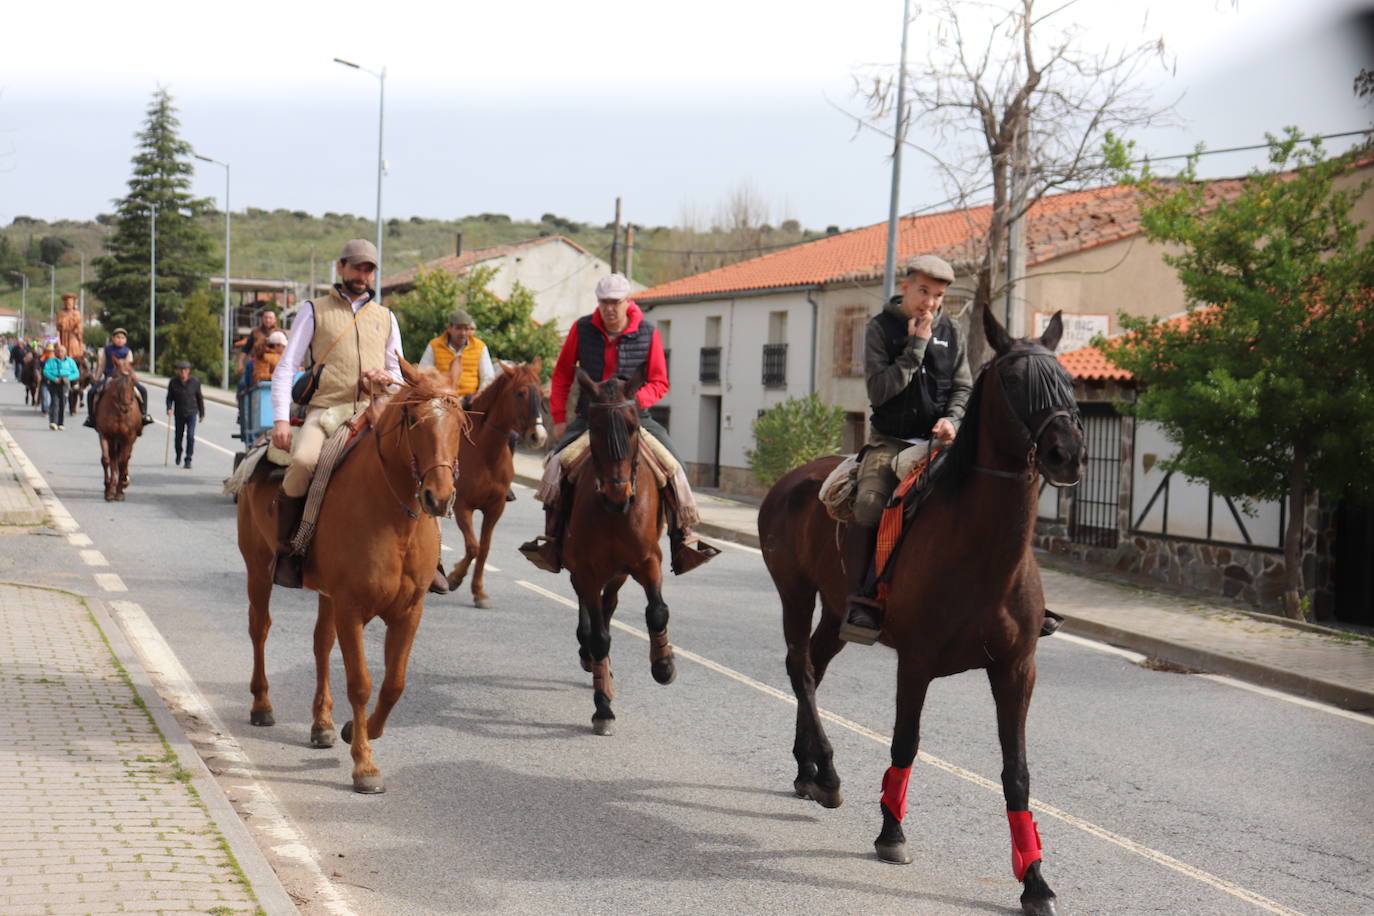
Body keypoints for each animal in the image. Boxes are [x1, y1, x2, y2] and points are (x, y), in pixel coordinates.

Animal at [93, 357, 140, 502]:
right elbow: (106, 460)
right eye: (116, 379)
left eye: (134, 379)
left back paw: (122, 483)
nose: (126, 407)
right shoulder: (105, 434)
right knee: (114, 458)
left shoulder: (129, 437)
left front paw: (121, 489)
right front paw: (109, 489)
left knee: (123, 459)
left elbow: (123, 461)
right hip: (114, 440)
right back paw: (113, 486)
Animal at [236, 362, 467, 791]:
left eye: (459, 423)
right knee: (260, 629)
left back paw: (322, 724)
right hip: (258, 570)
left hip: (326, 595)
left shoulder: (409, 611)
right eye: (414, 420)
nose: (439, 497)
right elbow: (361, 683)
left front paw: (355, 731)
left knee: (321, 645)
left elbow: (394, 684)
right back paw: (262, 705)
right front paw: (364, 765)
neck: (394, 519)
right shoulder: (351, 609)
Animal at [439, 359, 546, 609]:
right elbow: (473, 546)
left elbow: (484, 548)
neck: (485, 453)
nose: (538, 436)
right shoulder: (463, 507)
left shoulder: (495, 508)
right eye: (520, 393)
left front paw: (478, 591)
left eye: (542, 395)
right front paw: (455, 577)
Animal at [563, 368, 676, 736]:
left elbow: (657, 611)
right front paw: (603, 708)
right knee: (592, 611)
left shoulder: (647, 561)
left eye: (633, 427)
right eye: (595, 429)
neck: (613, 514)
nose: (618, 495)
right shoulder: (585, 569)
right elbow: (599, 636)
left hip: (620, 572)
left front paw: (664, 664)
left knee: (609, 603)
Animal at [758, 307, 1088, 916]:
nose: (1068, 454)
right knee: (801, 669)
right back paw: (828, 771)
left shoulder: (1016, 670)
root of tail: (792, 477)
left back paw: (809, 770)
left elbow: (1017, 773)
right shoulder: (915, 664)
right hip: (795, 592)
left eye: (1066, 379)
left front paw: (1035, 880)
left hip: (835, 611)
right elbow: (905, 744)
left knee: (813, 664)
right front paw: (891, 832)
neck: (982, 553)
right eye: (1014, 380)